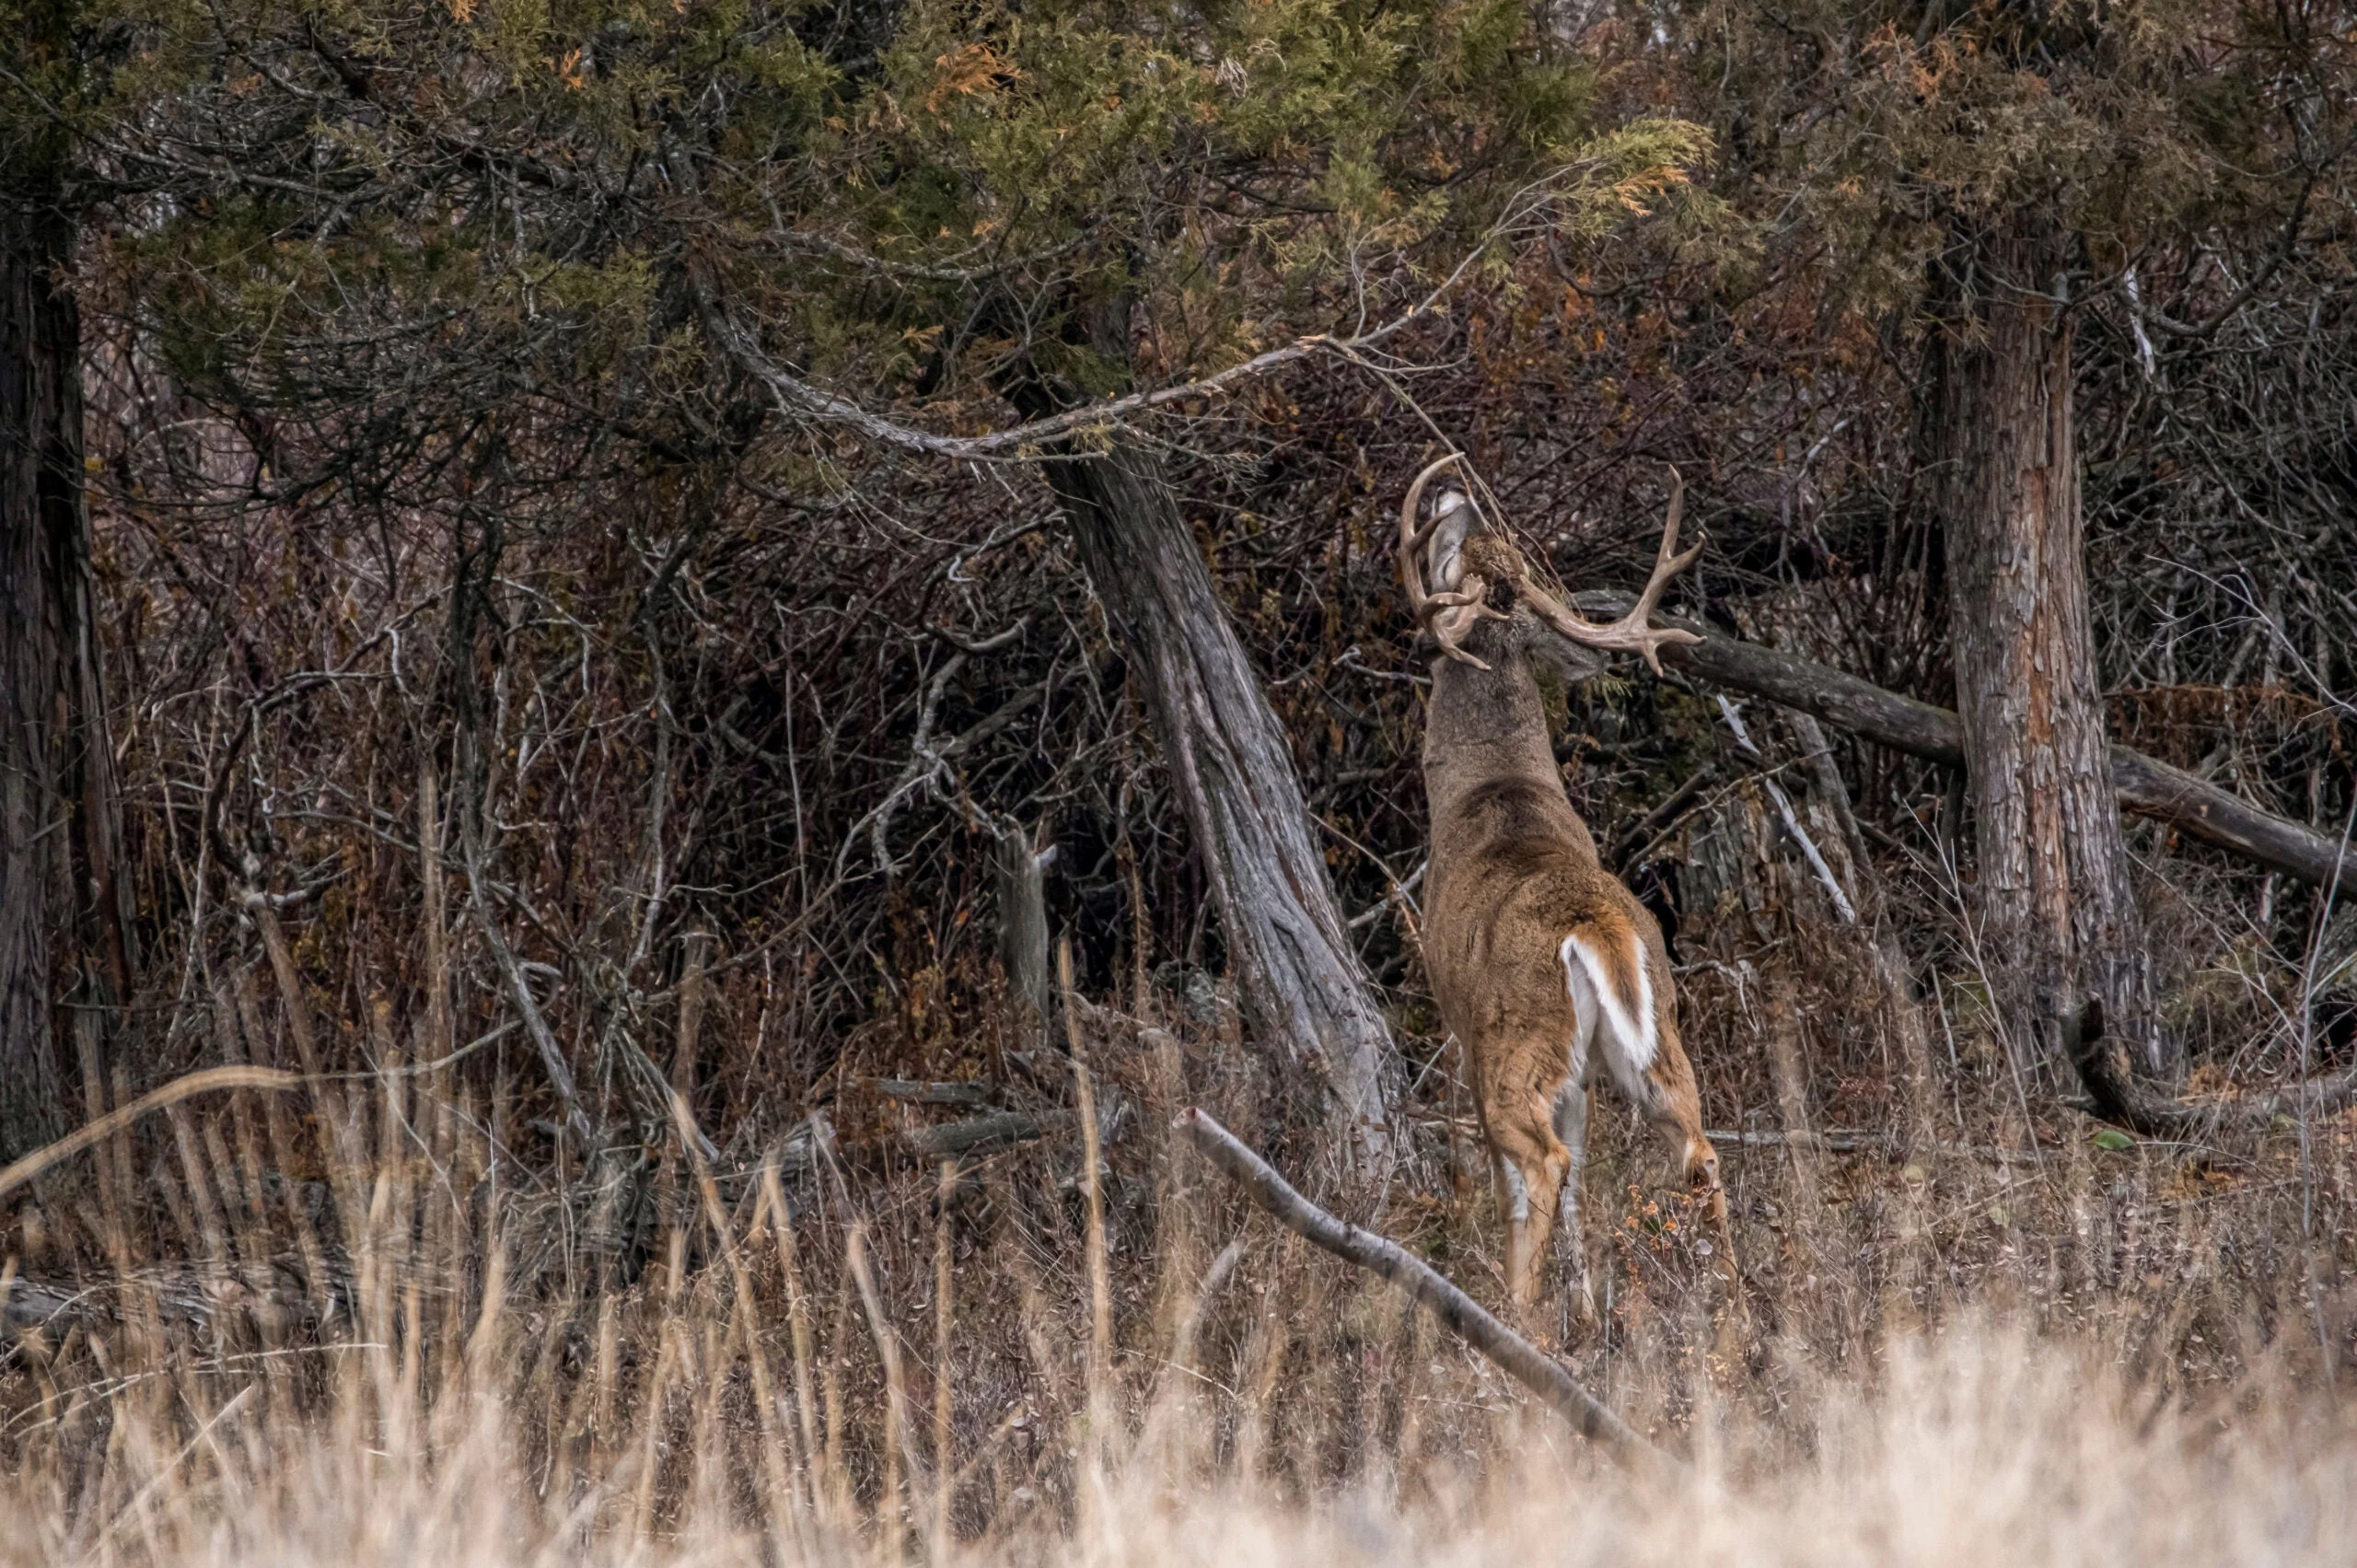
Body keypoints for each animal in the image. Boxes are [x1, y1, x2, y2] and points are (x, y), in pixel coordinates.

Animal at [1395, 452, 1735, 1320]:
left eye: (1446, 554)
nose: (1455, 493)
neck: (1494, 789)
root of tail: (1595, 926)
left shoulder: (1460, 1026)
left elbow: (1516, 1180)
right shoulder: (1582, 1073)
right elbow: (1585, 1178)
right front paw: (1583, 1304)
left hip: (1514, 1045)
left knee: (1541, 1162)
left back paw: (1512, 1318)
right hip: (1652, 1039)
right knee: (1698, 1148)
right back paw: (1737, 1311)